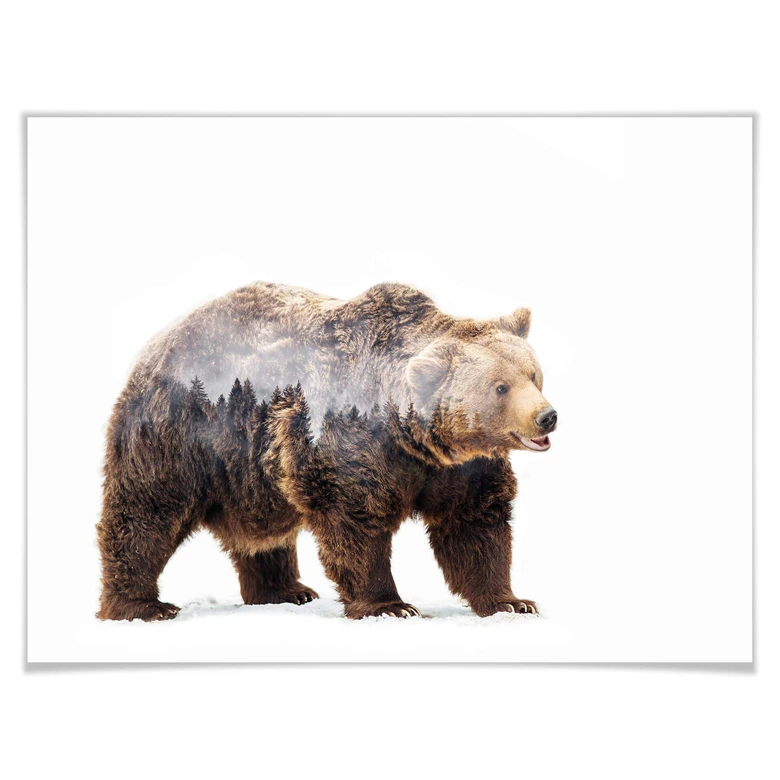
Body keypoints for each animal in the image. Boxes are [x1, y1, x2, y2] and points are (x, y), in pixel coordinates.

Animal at [96, 282, 557, 621]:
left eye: (533, 374)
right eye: (500, 387)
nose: (547, 416)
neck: (414, 438)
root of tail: (155, 344)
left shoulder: (460, 468)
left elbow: (475, 525)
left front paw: (512, 601)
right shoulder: (350, 441)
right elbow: (356, 521)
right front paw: (391, 605)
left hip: (250, 470)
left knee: (263, 535)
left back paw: (285, 590)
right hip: (181, 432)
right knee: (148, 511)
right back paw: (142, 605)